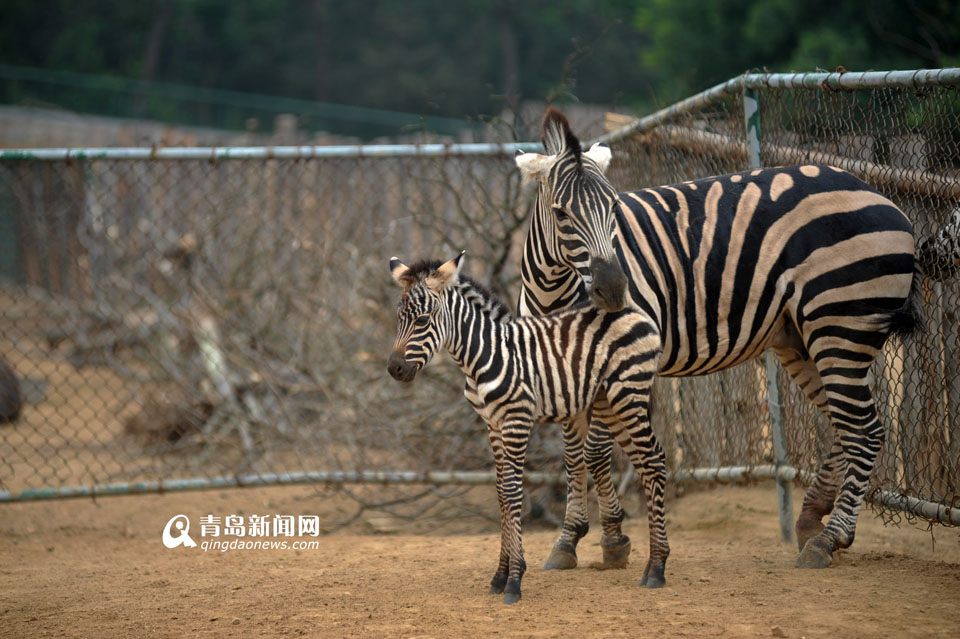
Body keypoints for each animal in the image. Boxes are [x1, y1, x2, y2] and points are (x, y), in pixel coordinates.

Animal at [384, 251, 668, 604]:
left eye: (422, 320)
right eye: (399, 318)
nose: (394, 369)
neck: (483, 355)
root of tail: (635, 313)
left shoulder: (517, 421)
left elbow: (512, 491)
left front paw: (515, 580)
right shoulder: (492, 426)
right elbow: (501, 495)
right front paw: (499, 576)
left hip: (629, 395)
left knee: (653, 462)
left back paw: (657, 569)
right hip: (611, 404)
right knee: (648, 464)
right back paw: (654, 563)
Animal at [516, 107, 944, 572]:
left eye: (613, 207)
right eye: (560, 214)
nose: (614, 290)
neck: (557, 292)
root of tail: (884, 198)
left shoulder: (620, 364)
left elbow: (596, 451)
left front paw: (611, 539)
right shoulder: (562, 368)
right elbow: (574, 454)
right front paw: (571, 539)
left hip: (840, 325)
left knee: (865, 430)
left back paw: (829, 539)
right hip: (802, 339)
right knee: (845, 424)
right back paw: (812, 519)